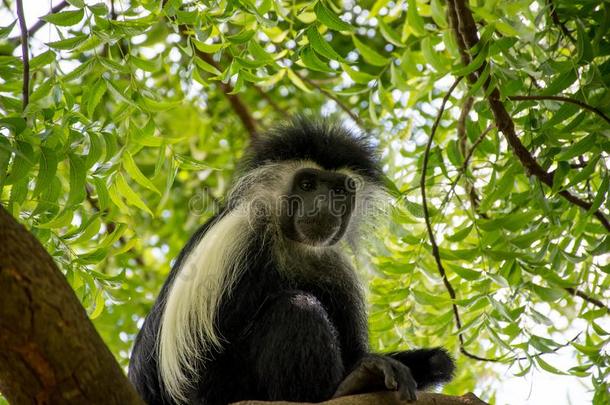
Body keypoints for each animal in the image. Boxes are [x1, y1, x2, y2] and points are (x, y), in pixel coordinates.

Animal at [128, 118, 452, 402]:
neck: (292, 244)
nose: (323, 204)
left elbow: (354, 353)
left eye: (338, 190)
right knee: (296, 307)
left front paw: (434, 362)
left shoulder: (337, 270)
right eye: (307, 185)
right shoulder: (238, 236)